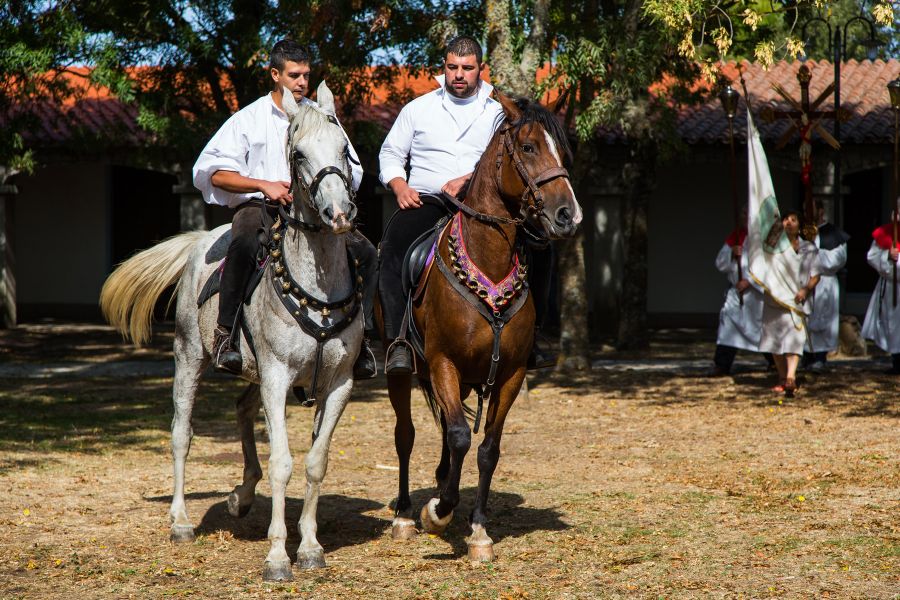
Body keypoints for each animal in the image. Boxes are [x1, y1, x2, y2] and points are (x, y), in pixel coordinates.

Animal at [101, 83, 362, 580]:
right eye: (298, 154)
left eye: (345, 149)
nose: (338, 213)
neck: (316, 284)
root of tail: (201, 241)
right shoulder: (277, 378)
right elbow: (283, 463)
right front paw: (278, 556)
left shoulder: (339, 383)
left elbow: (315, 463)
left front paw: (311, 547)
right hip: (190, 357)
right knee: (181, 435)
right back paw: (181, 522)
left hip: (254, 373)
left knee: (242, 410)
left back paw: (241, 496)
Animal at [382, 91, 584, 560]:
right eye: (528, 147)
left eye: (562, 152)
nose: (568, 215)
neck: (487, 261)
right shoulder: (443, 363)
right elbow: (459, 436)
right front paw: (437, 513)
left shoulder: (511, 373)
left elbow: (487, 447)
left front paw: (477, 529)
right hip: (404, 372)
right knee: (407, 435)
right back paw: (405, 514)